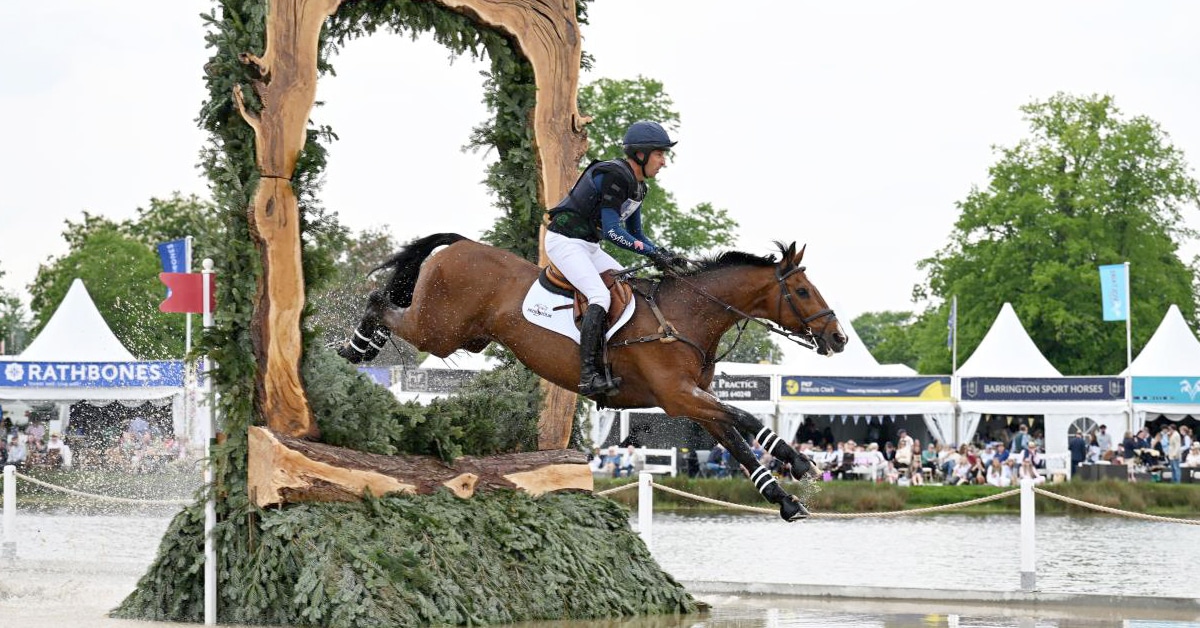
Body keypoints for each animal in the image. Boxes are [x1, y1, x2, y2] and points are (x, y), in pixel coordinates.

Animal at [338, 233, 848, 520]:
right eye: (803, 291)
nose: (839, 337)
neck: (688, 315)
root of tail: (459, 245)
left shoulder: (694, 400)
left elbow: (738, 443)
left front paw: (786, 499)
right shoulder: (679, 396)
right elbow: (746, 418)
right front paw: (801, 462)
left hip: (462, 335)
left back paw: (355, 348)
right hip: (439, 331)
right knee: (380, 302)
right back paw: (352, 349)